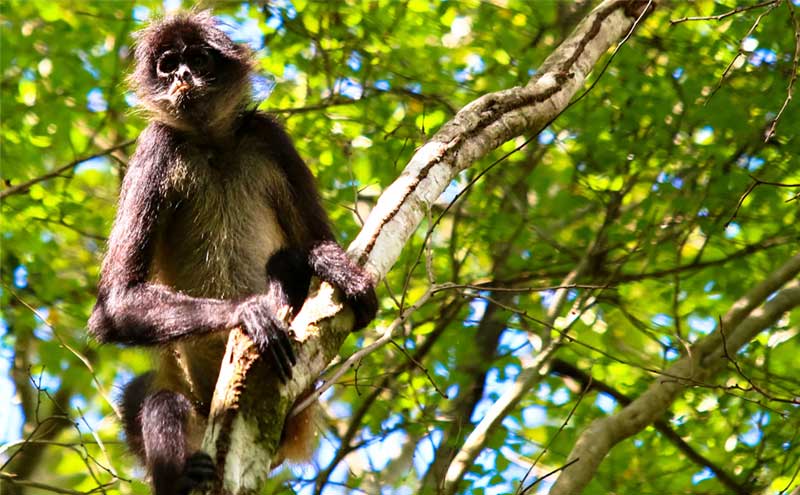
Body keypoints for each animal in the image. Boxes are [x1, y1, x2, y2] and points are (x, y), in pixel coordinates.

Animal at [89, 12, 376, 495]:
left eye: (199, 59)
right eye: (168, 65)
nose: (183, 77)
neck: (213, 144)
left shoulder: (268, 135)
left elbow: (316, 241)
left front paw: (331, 265)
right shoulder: (155, 145)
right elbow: (116, 302)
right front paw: (247, 312)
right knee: (162, 402)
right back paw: (179, 477)